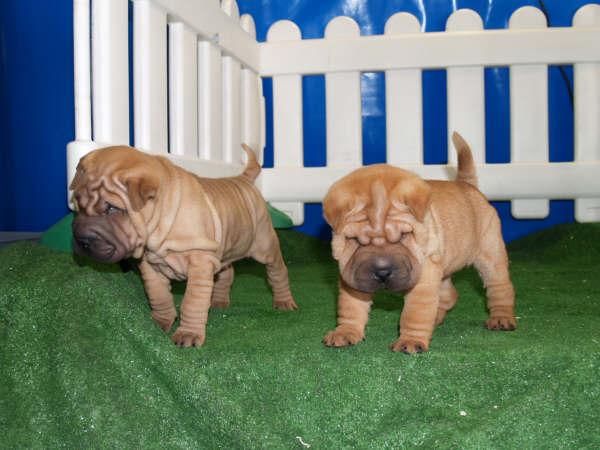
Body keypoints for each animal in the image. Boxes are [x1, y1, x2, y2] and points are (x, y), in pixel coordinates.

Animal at [70, 145, 298, 348]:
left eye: (111, 209)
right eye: (78, 203)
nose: (82, 240)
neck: (162, 222)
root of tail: (243, 179)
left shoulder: (200, 263)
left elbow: (192, 302)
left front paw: (188, 334)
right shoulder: (151, 267)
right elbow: (158, 295)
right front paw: (161, 322)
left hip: (264, 245)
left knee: (278, 272)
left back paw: (284, 302)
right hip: (223, 250)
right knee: (227, 273)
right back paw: (219, 301)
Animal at [324, 132, 516, 354]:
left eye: (403, 235)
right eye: (356, 240)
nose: (382, 271)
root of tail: (466, 184)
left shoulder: (423, 279)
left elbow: (414, 313)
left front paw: (410, 340)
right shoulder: (352, 276)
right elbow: (351, 307)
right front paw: (346, 331)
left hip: (491, 256)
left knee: (500, 287)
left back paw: (501, 318)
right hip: (443, 267)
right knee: (449, 295)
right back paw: (437, 318)